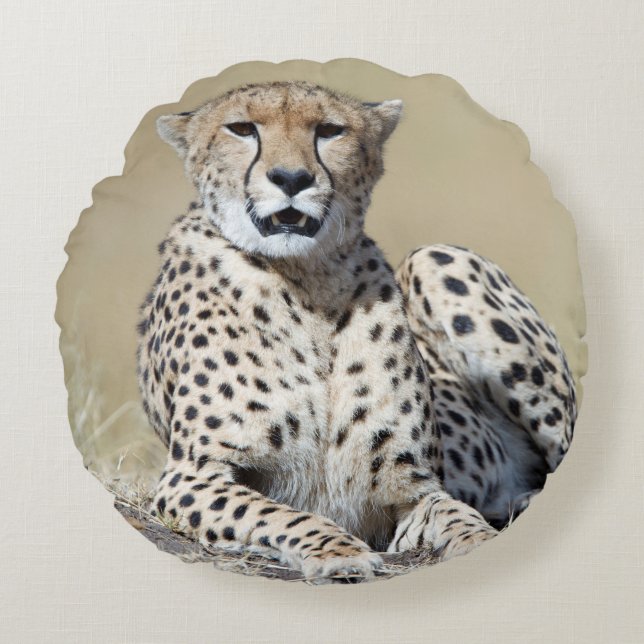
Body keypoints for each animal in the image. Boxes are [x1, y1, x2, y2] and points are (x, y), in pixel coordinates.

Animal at [136, 80, 576, 583]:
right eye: (242, 129)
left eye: (330, 131)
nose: (292, 178)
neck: (307, 284)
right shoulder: (191, 476)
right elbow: (274, 513)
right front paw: (337, 551)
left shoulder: (414, 491)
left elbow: (455, 513)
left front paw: (478, 540)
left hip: (436, 258)